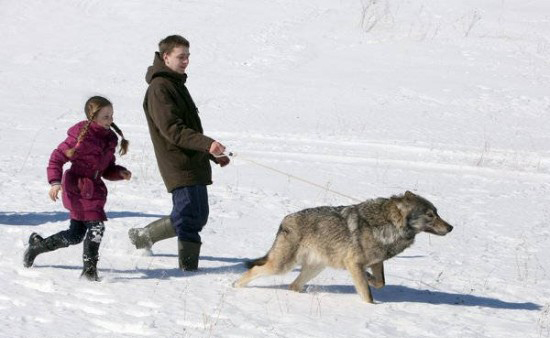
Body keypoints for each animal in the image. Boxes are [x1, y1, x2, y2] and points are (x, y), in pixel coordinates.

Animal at [233, 190, 452, 304]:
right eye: (430, 215)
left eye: (437, 212)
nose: (451, 227)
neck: (387, 223)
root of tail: (284, 220)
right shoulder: (354, 263)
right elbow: (367, 294)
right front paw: (372, 307)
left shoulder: (376, 262)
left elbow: (380, 282)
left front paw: (370, 278)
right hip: (282, 266)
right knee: (255, 269)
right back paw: (235, 286)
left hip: (315, 268)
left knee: (293, 285)